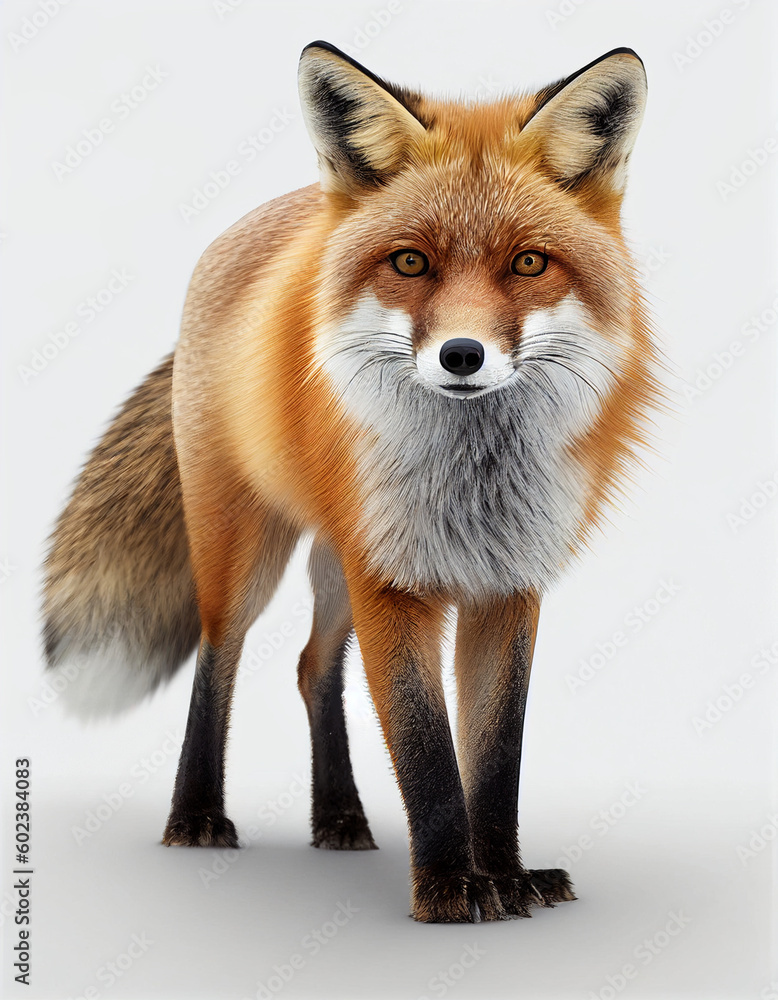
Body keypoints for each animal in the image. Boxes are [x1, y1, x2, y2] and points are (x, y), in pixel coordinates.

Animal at [42, 41, 657, 923]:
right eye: (411, 262)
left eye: (529, 264)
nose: (462, 355)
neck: (471, 486)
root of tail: (265, 219)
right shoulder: (391, 585)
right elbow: (427, 749)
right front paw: (449, 888)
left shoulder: (508, 586)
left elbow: (495, 757)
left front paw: (505, 877)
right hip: (247, 548)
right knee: (218, 655)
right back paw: (196, 817)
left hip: (337, 561)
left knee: (310, 665)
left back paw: (338, 816)